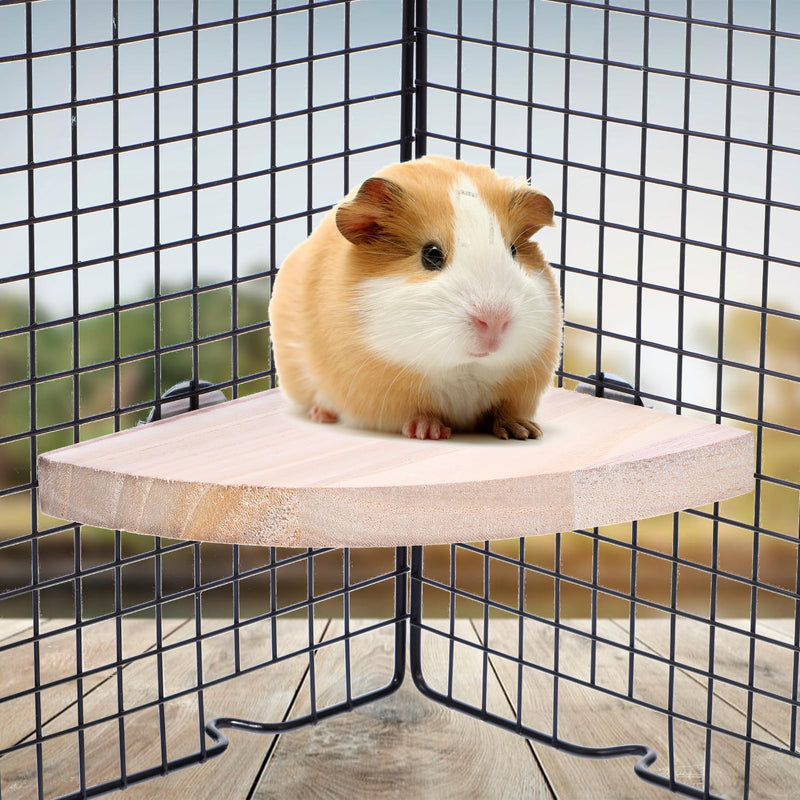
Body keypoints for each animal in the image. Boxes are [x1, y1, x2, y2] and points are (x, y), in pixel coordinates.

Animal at [268, 155, 563, 440]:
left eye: (513, 251)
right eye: (431, 255)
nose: (494, 321)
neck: (464, 369)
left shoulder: (518, 388)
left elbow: (504, 411)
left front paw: (525, 432)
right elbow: (418, 413)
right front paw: (430, 432)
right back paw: (322, 414)